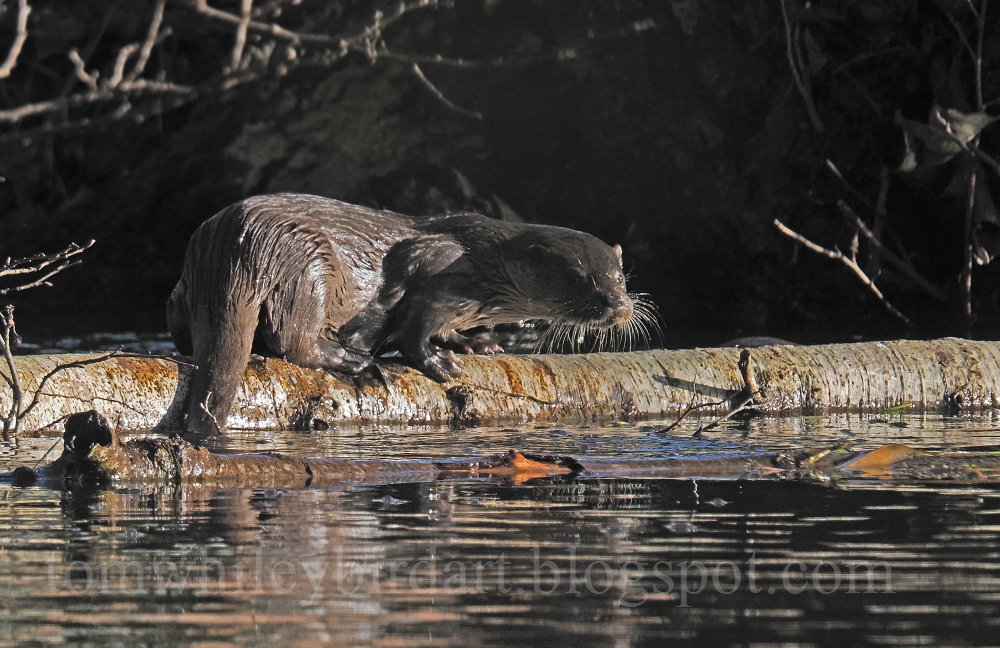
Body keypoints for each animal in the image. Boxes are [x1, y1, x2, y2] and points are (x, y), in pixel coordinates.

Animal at [167, 193, 651, 435]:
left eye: (620, 275)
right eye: (580, 278)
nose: (620, 305)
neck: (483, 267)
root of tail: (231, 248)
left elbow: (446, 330)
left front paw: (476, 343)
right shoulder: (441, 273)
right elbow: (413, 329)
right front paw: (438, 361)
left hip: (184, 292)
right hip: (309, 263)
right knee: (293, 339)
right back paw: (354, 360)